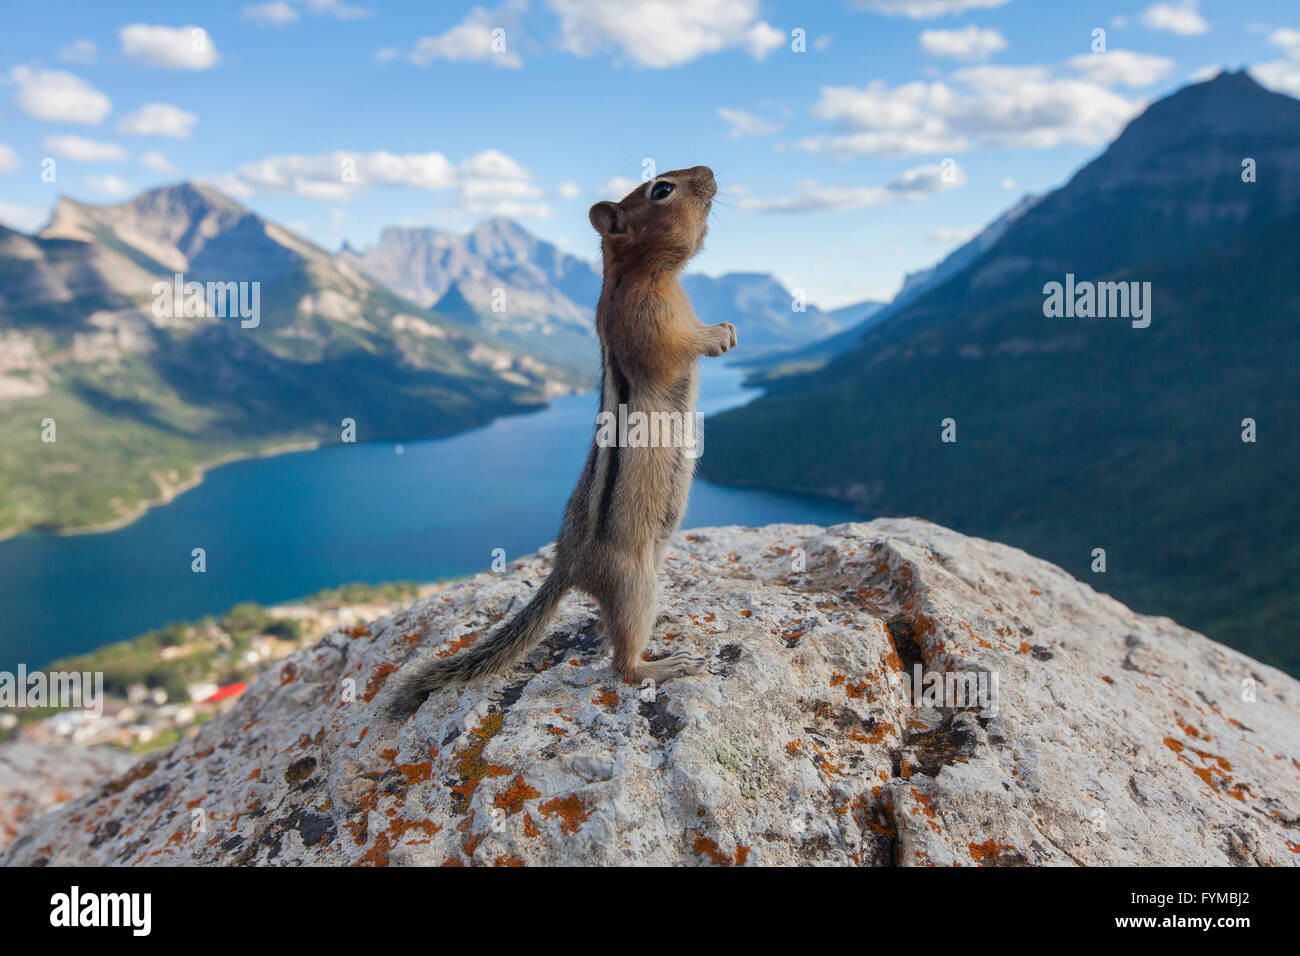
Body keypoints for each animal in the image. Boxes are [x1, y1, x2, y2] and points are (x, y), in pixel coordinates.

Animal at [384, 166, 738, 717]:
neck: (641, 275)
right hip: (633, 580)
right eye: (662, 190)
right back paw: (663, 664)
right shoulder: (645, 324)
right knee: (622, 662)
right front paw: (718, 334)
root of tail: (567, 564)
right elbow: (675, 347)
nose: (711, 172)